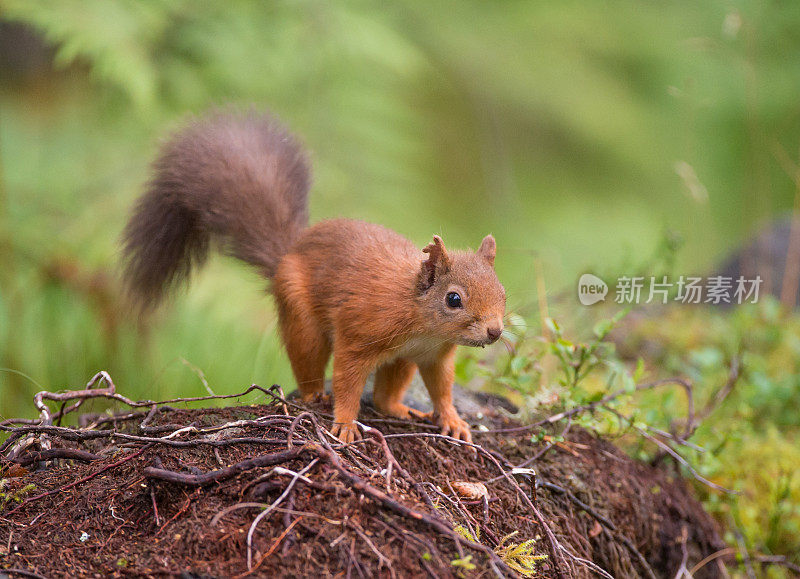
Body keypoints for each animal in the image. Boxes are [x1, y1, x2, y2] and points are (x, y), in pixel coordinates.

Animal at [121, 110, 504, 444]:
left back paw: (399, 408)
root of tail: (288, 253)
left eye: (502, 293)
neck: (420, 321)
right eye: (453, 299)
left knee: (385, 396)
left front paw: (453, 419)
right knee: (307, 357)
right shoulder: (360, 334)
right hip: (302, 318)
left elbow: (441, 388)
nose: (495, 331)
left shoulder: (433, 355)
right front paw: (345, 424)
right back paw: (314, 394)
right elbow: (348, 380)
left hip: (401, 360)